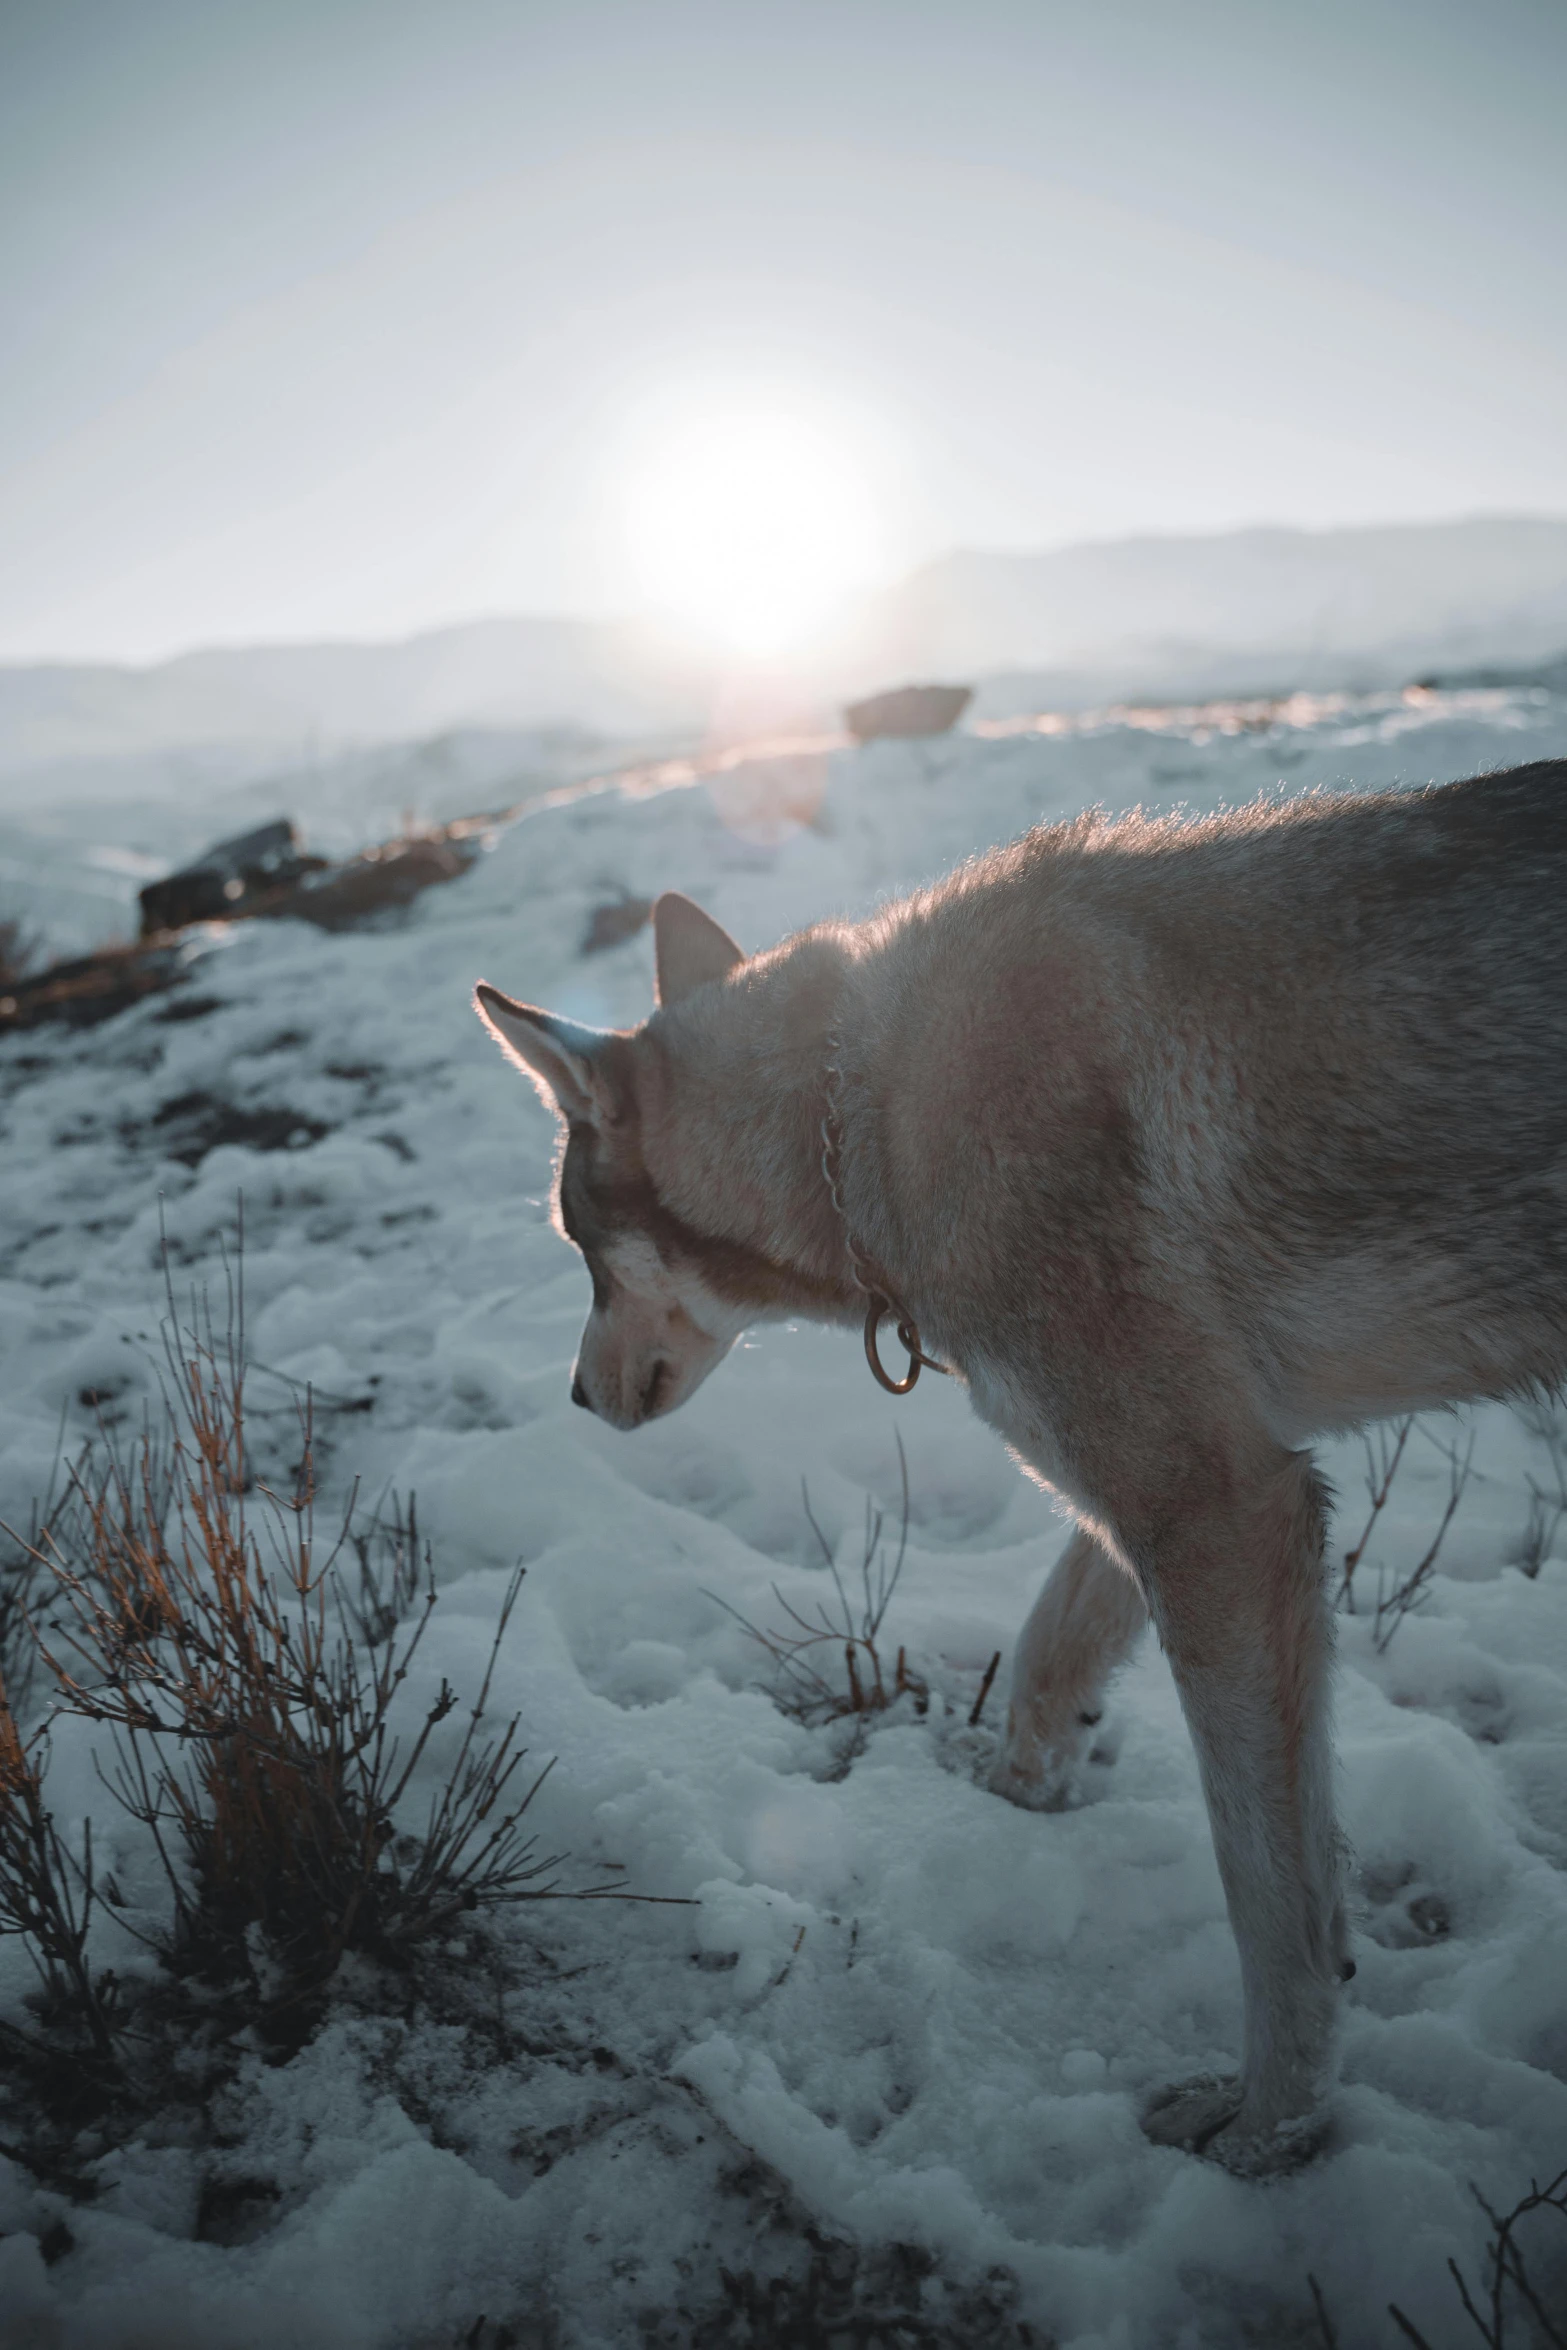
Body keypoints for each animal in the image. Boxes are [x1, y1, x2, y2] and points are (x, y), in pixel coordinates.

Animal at [472, 761, 1567, 2171]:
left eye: (580, 1253)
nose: (571, 1394)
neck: (858, 1121)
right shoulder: (1179, 1487)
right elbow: (1047, 1661)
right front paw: (1010, 1807)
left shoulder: (1215, 1509)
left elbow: (1272, 1899)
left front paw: (1268, 2132)